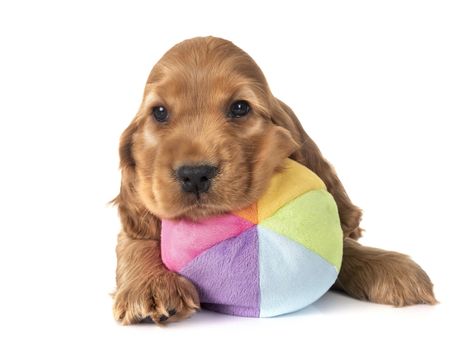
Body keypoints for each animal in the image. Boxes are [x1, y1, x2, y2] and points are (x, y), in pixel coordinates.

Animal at [112, 36, 436, 326]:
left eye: (240, 108)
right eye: (159, 112)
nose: (194, 175)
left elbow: (343, 246)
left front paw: (390, 266)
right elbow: (136, 240)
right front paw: (152, 285)